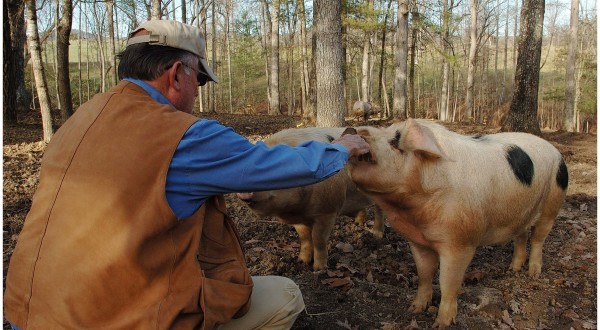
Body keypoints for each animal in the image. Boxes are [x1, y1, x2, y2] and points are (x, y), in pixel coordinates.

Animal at [236, 127, 384, 270]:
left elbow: (318, 239)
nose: (244, 191)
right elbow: (305, 238)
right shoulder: (299, 220)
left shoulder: (327, 211)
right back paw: (358, 224)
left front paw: (319, 269)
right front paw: (302, 261)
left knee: (379, 211)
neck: (294, 210)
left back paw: (377, 236)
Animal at [346, 118, 568, 328]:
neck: (413, 212)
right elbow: (424, 274)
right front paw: (414, 309)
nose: (352, 130)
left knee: (538, 238)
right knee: (521, 235)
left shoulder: (460, 243)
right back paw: (513, 269)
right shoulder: (417, 240)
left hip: (553, 202)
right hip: (522, 212)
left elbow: (447, 283)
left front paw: (441, 324)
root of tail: (555, 150)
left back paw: (534, 274)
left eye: (395, 142)